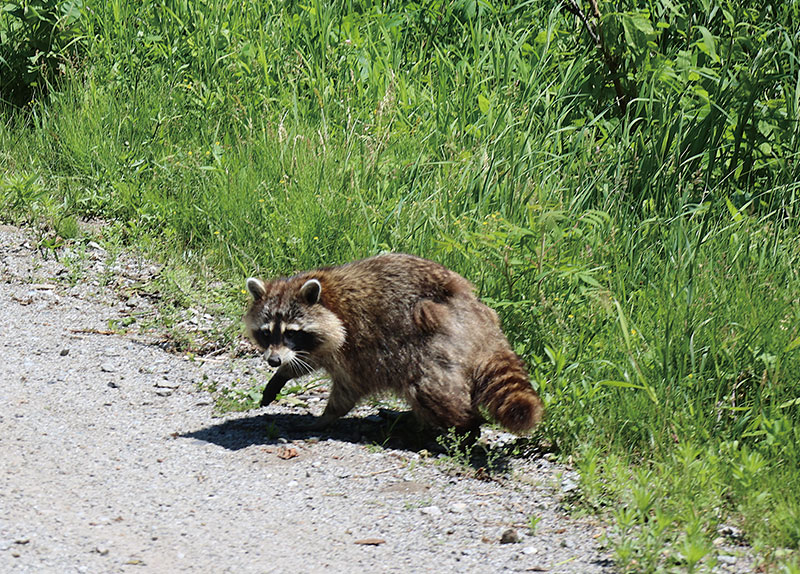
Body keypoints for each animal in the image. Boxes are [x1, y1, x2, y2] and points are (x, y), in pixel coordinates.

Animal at [244, 253, 543, 434]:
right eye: (267, 333)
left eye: (291, 333)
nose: (273, 360)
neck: (329, 300)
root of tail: (476, 315)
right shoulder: (319, 345)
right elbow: (306, 360)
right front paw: (282, 375)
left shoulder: (355, 345)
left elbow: (348, 389)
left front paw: (324, 419)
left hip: (433, 345)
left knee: (431, 390)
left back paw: (465, 425)